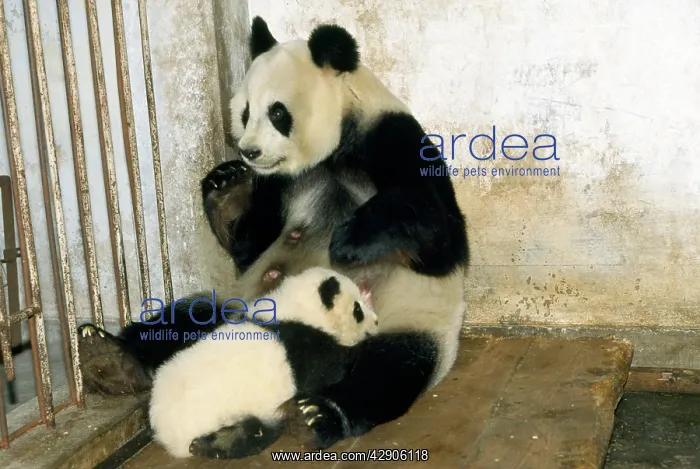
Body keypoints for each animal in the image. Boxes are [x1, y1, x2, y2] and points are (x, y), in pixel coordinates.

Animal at [148, 267, 378, 458]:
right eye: (358, 309)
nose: (376, 321)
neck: (298, 308)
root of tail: (169, 435)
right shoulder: (302, 347)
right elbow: (327, 370)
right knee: (254, 433)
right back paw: (217, 444)